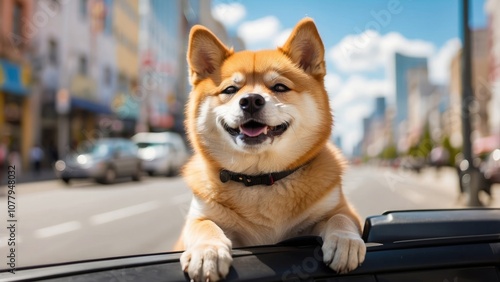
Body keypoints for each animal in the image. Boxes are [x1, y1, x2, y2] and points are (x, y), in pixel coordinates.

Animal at [178, 17, 366, 280]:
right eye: (230, 90)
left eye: (279, 87)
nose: (250, 100)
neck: (260, 179)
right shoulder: (199, 215)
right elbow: (203, 225)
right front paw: (208, 251)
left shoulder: (341, 208)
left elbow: (340, 218)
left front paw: (345, 241)